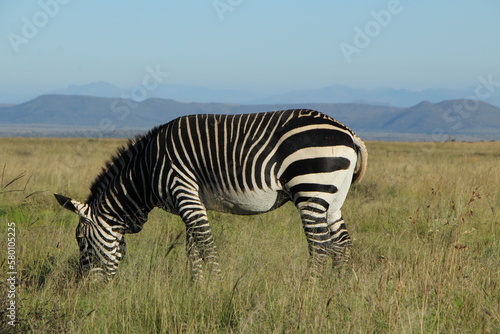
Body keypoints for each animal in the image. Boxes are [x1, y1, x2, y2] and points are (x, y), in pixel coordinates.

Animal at [55, 109, 368, 280]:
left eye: (81, 241)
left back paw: (310, 289)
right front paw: (197, 287)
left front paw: (215, 287)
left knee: (320, 246)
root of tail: (348, 132)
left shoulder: (183, 191)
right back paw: (337, 289)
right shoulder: (192, 200)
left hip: (310, 188)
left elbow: (206, 245)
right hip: (333, 197)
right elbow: (192, 249)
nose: (88, 288)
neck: (145, 170)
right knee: (341, 242)